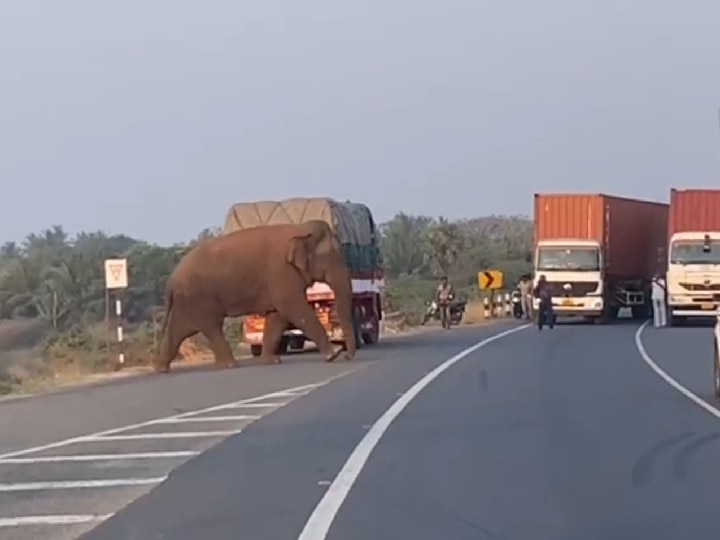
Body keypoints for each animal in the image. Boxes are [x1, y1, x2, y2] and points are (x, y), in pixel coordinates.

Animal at [153, 219, 356, 372]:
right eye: (332, 256)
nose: (348, 356)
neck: (300, 228)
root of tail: (172, 279)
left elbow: (277, 316)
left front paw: (272, 361)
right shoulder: (281, 273)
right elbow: (294, 308)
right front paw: (333, 353)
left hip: (188, 299)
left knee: (181, 329)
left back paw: (161, 368)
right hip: (199, 296)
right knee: (211, 325)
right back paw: (230, 365)